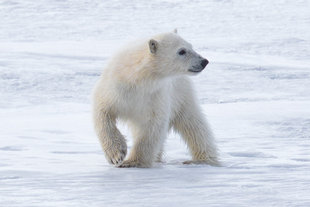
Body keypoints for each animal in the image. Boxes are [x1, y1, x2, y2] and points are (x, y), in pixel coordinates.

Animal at [92, 30, 218, 168]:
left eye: (191, 46)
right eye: (182, 51)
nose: (204, 61)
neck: (138, 78)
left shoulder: (155, 96)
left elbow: (153, 126)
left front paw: (132, 161)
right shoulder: (115, 89)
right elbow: (103, 113)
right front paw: (116, 155)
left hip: (181, 94)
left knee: (193, 124)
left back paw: (202, 159)